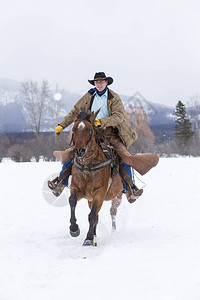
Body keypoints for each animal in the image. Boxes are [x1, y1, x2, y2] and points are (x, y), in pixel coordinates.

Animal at [69, 111, 123, 245]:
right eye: (73, 129)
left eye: (89, 130)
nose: (79, 151)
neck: (87, 165)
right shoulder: (76, 188)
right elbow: (72, 201)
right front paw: (74, 228)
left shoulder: (100, 193)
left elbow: (92, 216)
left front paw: (88, 239)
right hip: (90, 200)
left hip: (117, 196)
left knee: (112, 211)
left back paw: (112, 231)